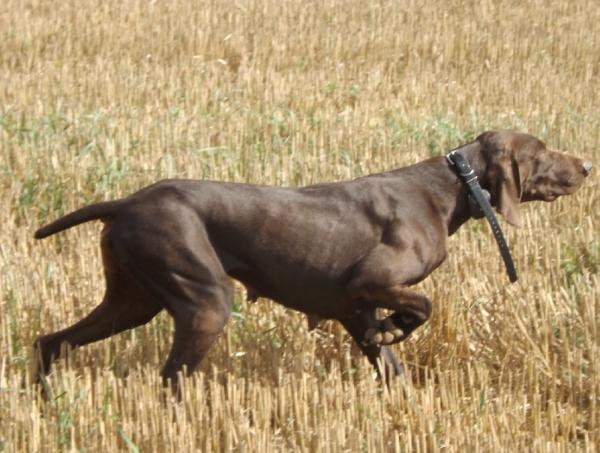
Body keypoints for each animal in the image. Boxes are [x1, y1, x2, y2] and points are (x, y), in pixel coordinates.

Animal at [31, 129, 592, 386]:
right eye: (541, 150)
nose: (587, 165)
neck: (448, 187)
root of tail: (126, 201)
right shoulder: (371, 281)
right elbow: (424, 306)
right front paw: (394, 328)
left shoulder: (354, 307)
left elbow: (392, 365)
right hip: (204, 298)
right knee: (171, 376)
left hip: (132, 300)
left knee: (52, 341)